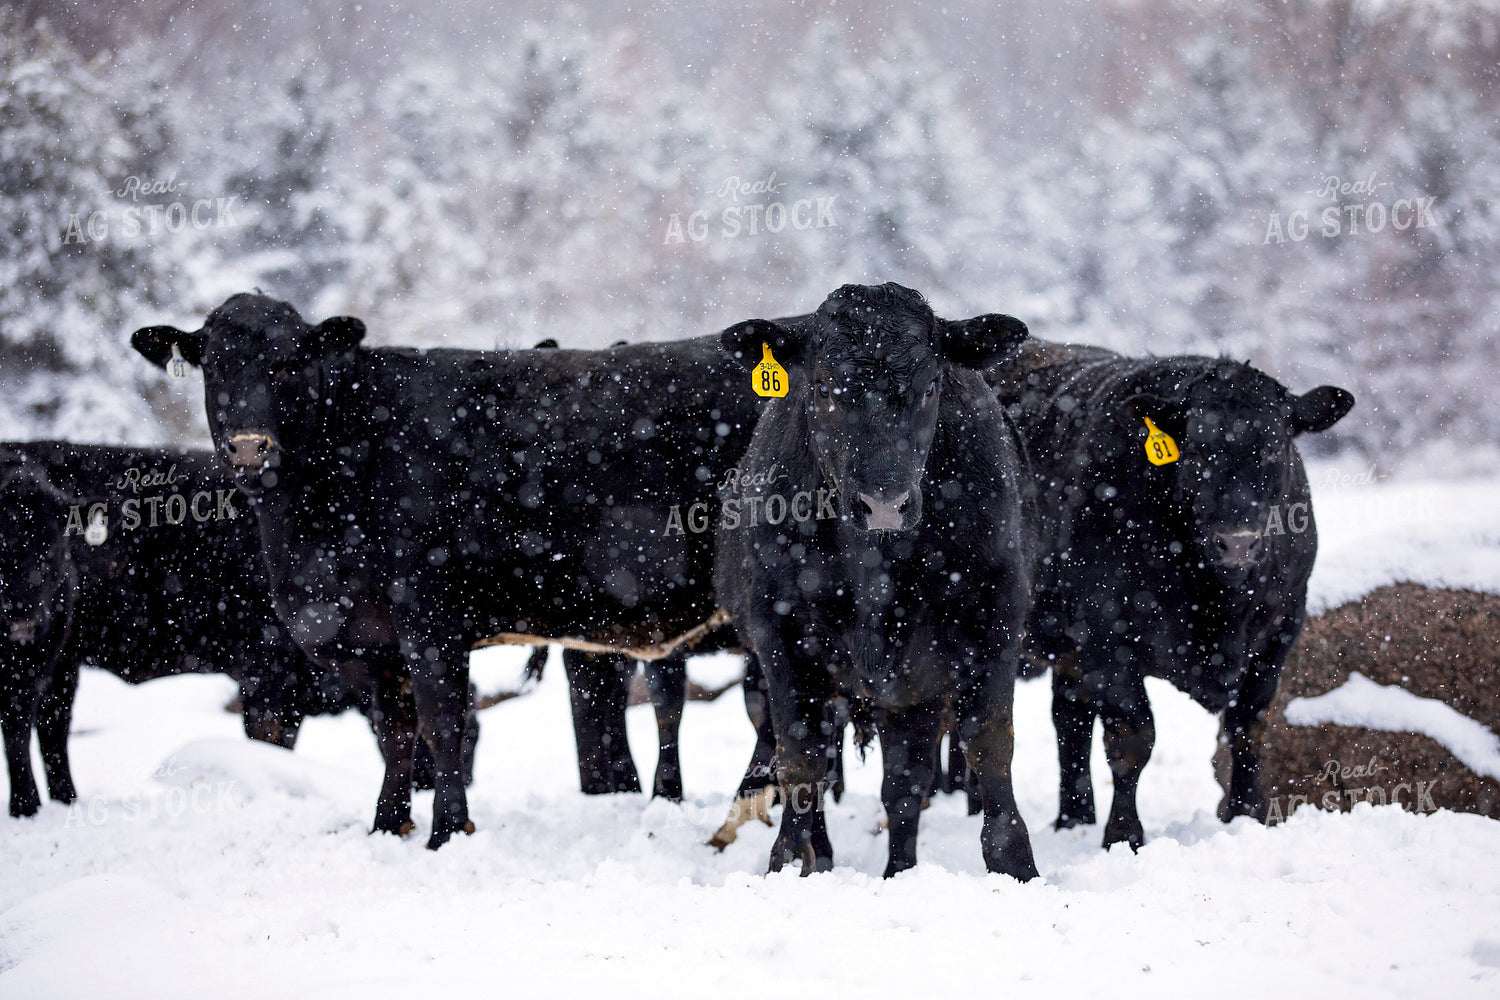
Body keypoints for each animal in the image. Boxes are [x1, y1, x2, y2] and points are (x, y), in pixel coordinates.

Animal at [132, 293, 762, 847]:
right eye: (214, 367)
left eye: (289, 363)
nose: (248, 448)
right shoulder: (375, 640)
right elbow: (395, 731)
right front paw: (388, 826)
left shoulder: (429, 618)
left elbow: (441, 725)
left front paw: (447, 833)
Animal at [714, 282, 1039, 879]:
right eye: (822, 386)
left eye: (931, 385)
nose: (884, 504)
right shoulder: (780, 636)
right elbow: (799, 759)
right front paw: (786, 865)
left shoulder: (992, 620)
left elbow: (988, 746)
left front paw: (1017, 868)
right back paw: (821, 857)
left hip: (913, 689)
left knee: (905, 784)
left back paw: (901, 872)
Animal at [987, 339, 1354, 849]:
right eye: (1196, 451)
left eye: (1277, 447)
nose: (1238, 542)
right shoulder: (1108, 634)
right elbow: (1133, 736)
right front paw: (1124, 836)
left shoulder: (1282, 628)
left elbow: (1249, 725)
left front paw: (1247, 816)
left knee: (1070, 720)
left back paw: (1074, 819)